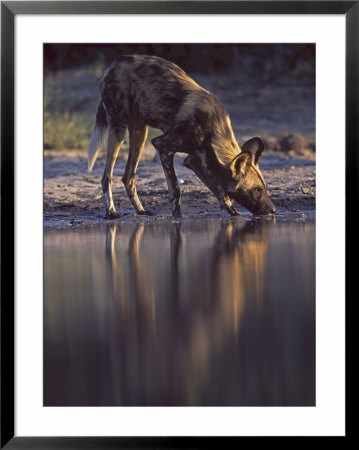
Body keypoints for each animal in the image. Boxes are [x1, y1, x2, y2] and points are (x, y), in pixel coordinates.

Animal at [88, 53, 278, 219]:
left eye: (265, 188)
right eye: (257, 190)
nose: (273, 210)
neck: (213, 130)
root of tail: (115, 63)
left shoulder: (195, 160)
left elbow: (219, 189)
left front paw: (232, 212)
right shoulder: (162, 145)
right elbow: (176, 189)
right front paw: (178, 219)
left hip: (140, 131)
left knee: (129, 176)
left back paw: (141, 211)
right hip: (118, 128)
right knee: (106, 176)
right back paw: (111, 212)